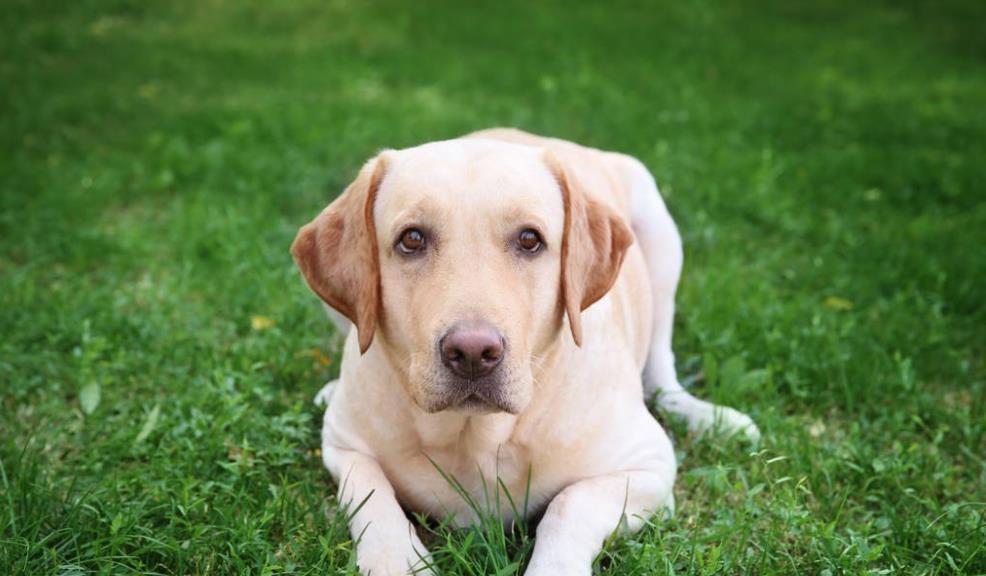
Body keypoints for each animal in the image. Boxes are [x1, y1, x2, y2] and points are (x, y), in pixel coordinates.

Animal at [288, 129, 756, 576]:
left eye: (530, 240)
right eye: (412, 239)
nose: (472, 352)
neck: (478, 437)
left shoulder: (648, 466)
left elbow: (568, 506)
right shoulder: (343, 447)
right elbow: (371, 493)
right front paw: (396, 560)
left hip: (661, 240)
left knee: (662, 375)